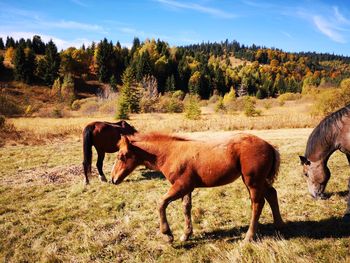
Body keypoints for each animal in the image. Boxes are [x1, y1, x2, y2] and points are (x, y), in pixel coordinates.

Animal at [112, 133, 284, 242]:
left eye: (121, 156)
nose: (113, 179)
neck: (170, 154)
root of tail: (269, 146)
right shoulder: (187, 187)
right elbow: (186, 208)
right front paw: (186, 235)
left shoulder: (182, 185)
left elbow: (161, 203)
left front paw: (168, 234)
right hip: (259, 181)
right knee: (272, 194)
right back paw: (279, 226)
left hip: (252, 181)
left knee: (257, 204)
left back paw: (249, 236)